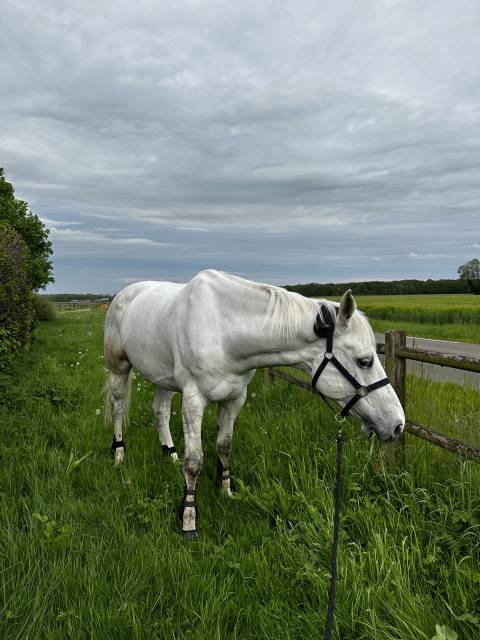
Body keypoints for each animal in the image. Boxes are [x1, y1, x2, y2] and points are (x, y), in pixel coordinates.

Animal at [104, 269, 405, 538]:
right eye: (364, 361)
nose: (398, 425)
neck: (225, 329)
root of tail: (123, 295)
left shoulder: (234, 398)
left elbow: (224, 447)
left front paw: (226, 491)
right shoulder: (193, 400)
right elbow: (194, 462)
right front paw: (188, 518)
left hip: (163, 379)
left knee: (160, 411)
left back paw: (169, 452)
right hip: (119, 369)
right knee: (118, 407)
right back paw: (118, 455)